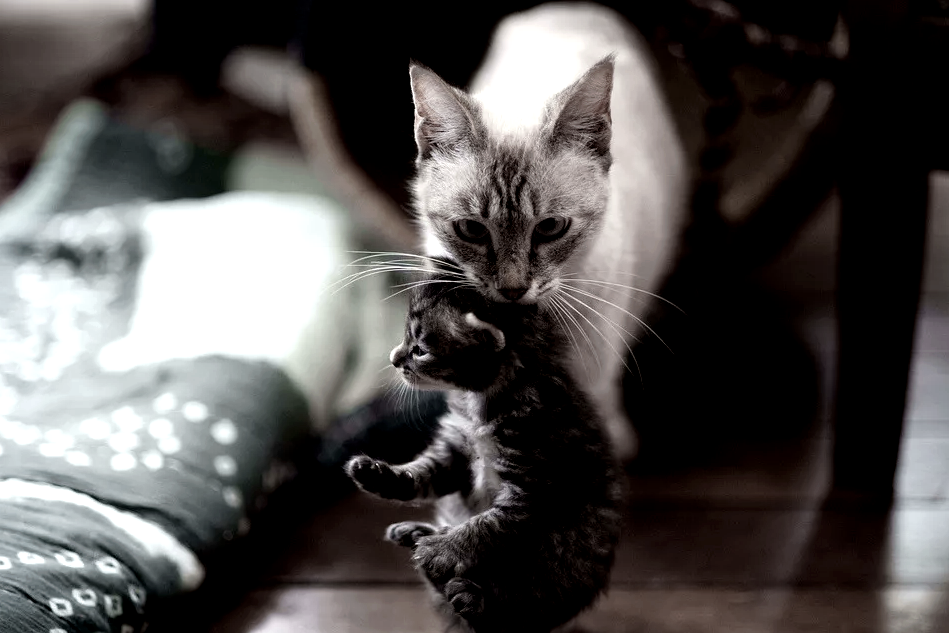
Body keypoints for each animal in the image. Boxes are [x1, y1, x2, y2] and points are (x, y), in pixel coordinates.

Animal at [344, 266, 624, 632]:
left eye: (419, 349)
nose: (393, 359)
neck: (482, 402)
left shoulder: (535, 482)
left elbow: (490, 524)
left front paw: (442, 549)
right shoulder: (454, 452)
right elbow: (422, 473)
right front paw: (378, 475)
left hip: (564, 558)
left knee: (519, 605)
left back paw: (471, 596)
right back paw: (418, 534)